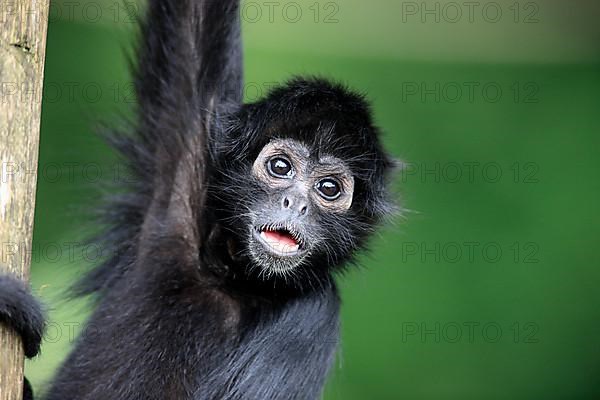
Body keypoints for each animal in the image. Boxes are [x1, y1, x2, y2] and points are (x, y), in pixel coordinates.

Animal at [1, 0, 398, 398]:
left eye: (328, 189)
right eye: (281, 167)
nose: (295, 204)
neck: (237, 280)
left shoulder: (315, 313)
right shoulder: (181, 192)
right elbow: (194, 22)